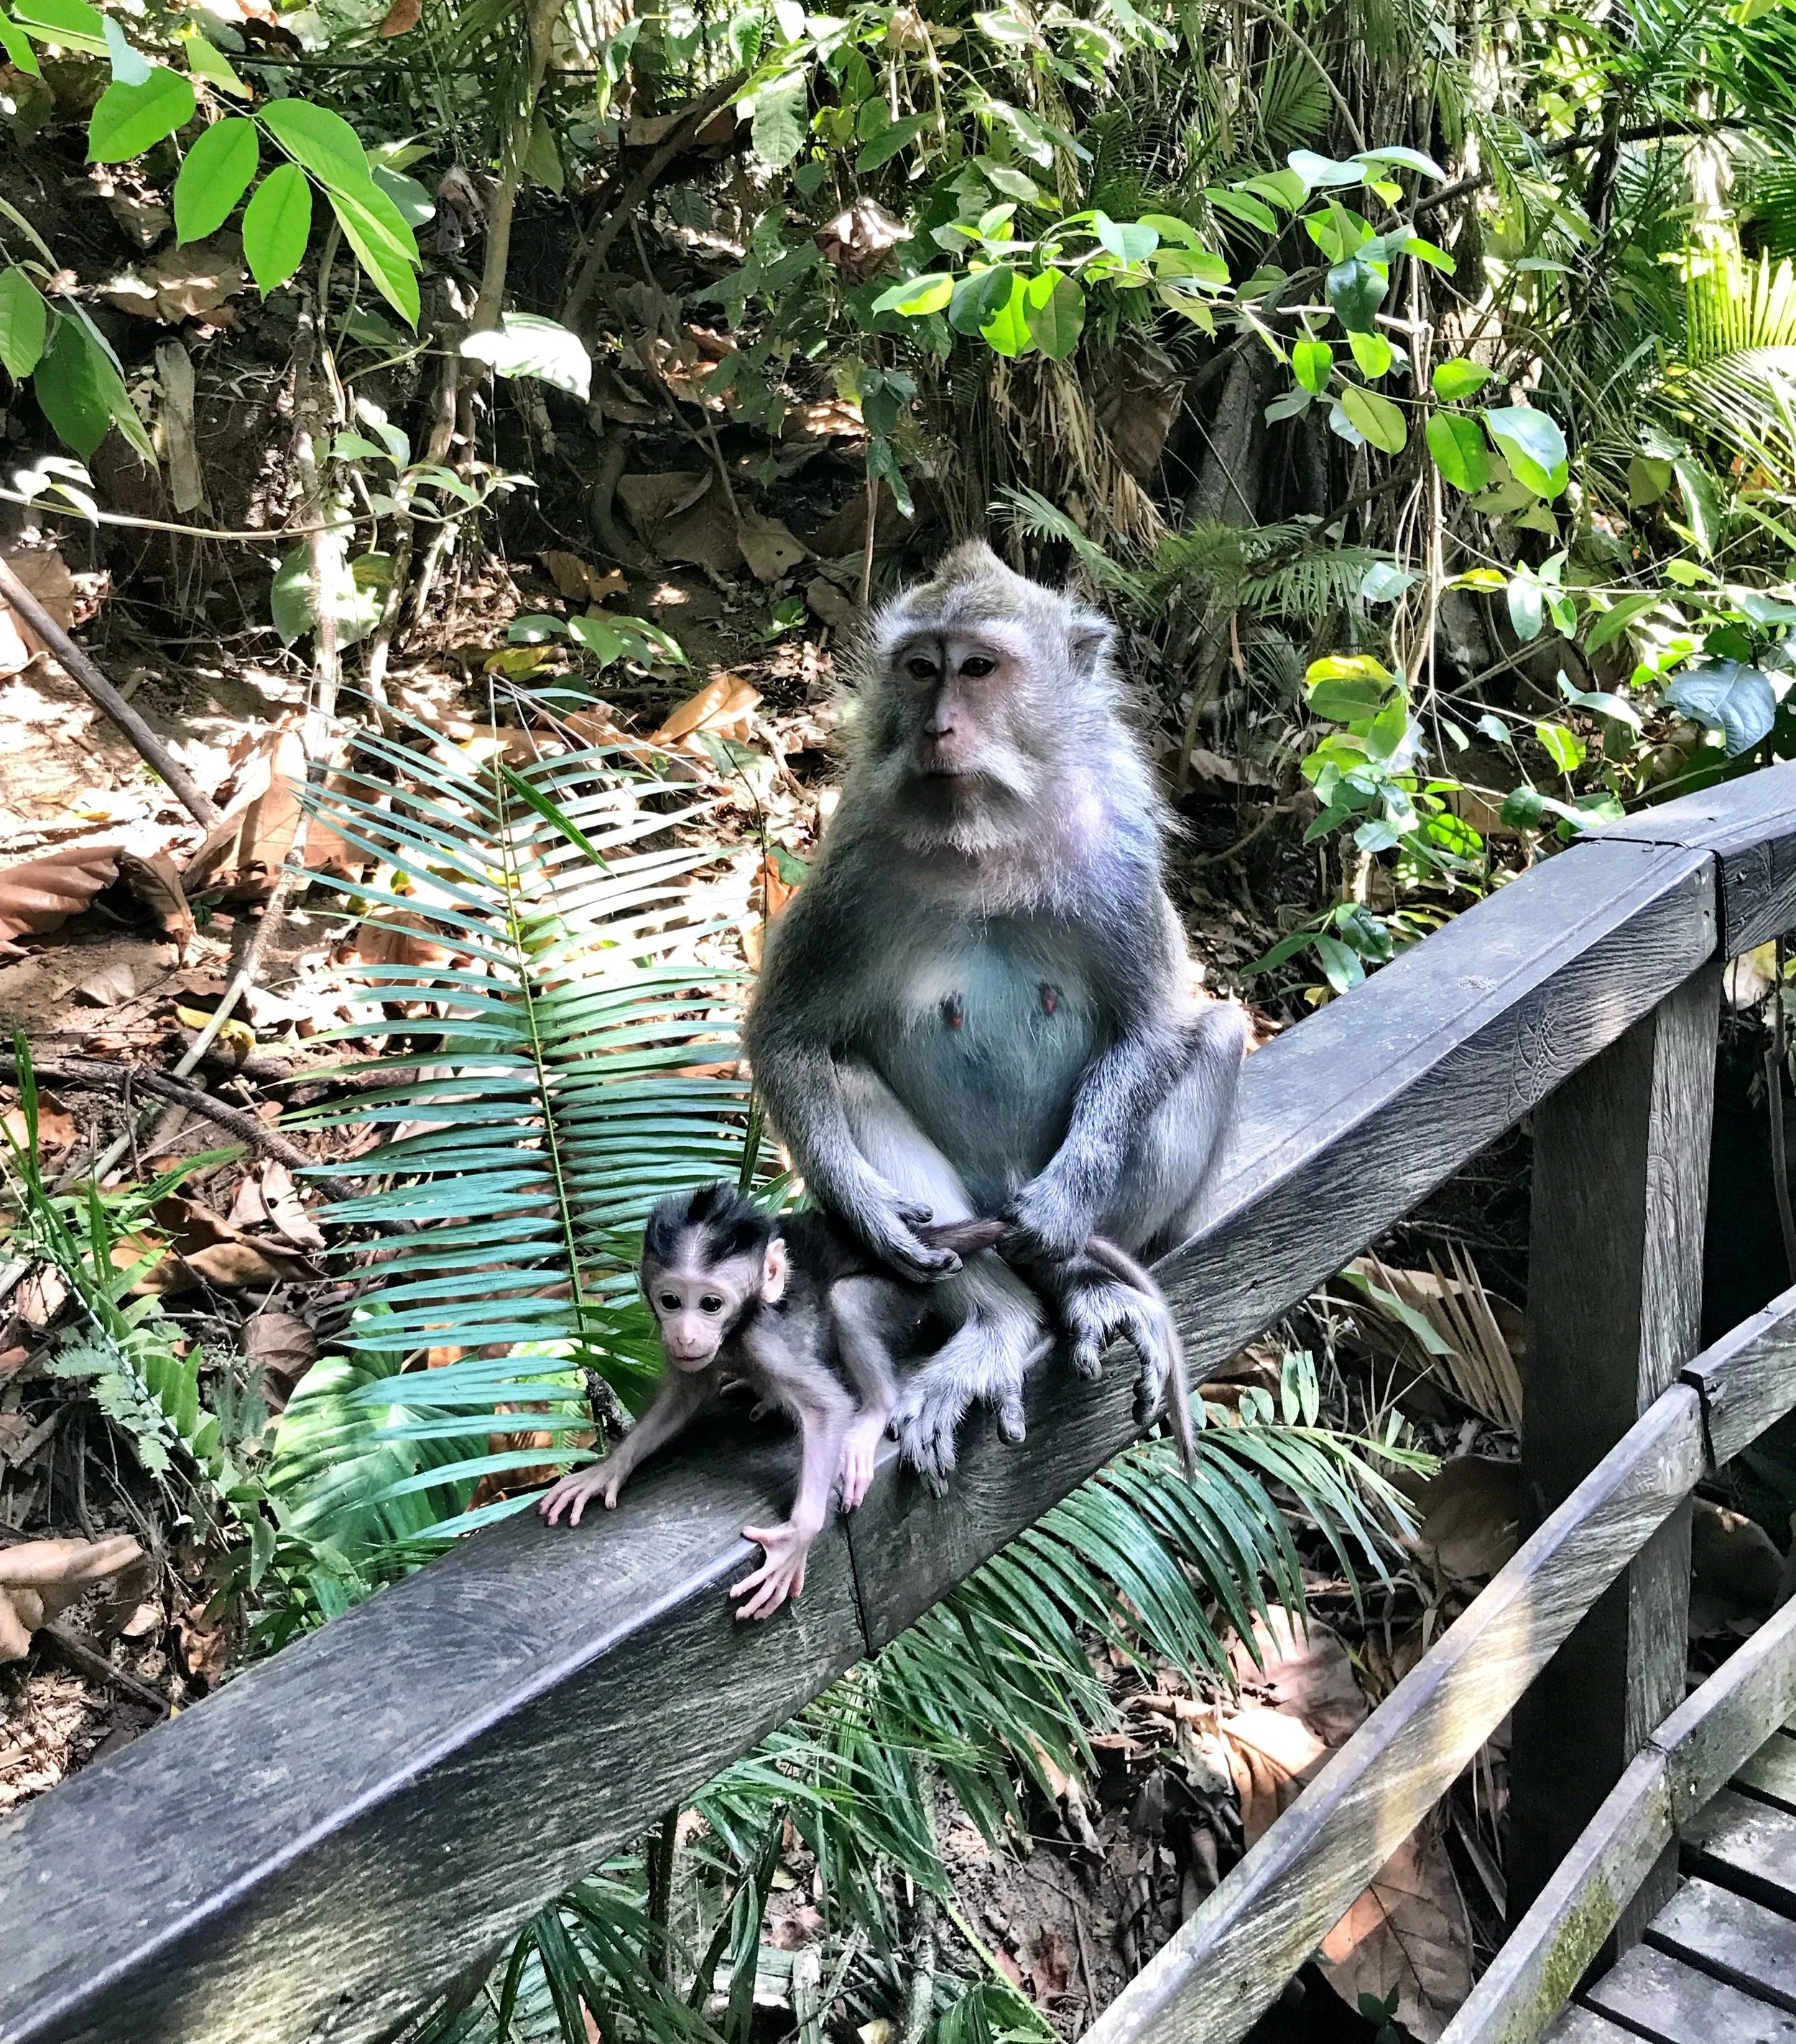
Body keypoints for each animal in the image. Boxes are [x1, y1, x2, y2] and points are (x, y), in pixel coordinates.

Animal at [744, 539, 1248, 1483]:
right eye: (919, 668)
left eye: (977, 668)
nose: (937, 727)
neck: (983, 838)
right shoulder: (851, 871)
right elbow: (787, 1037)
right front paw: (869, 1210)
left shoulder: (1118, 861)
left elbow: (1150, 1026)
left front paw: (1065, 1204)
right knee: (848, 1078)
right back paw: (996, 1318)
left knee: (1218, 1034)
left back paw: (1086, 1283)